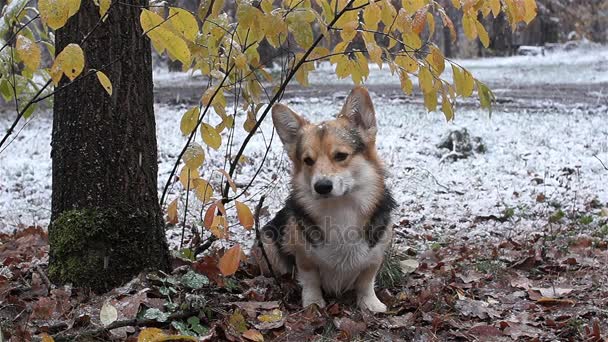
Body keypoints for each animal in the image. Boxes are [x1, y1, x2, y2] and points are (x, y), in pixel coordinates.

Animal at [255, 86, 394, 312]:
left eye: (341, 156)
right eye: (308, 161)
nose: (321, 187)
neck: (340, 207)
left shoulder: (375, 256)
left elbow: (366, 281)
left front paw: (370, 304)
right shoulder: (304, 257)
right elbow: (310, 280)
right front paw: (313, 303)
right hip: (267, 242)